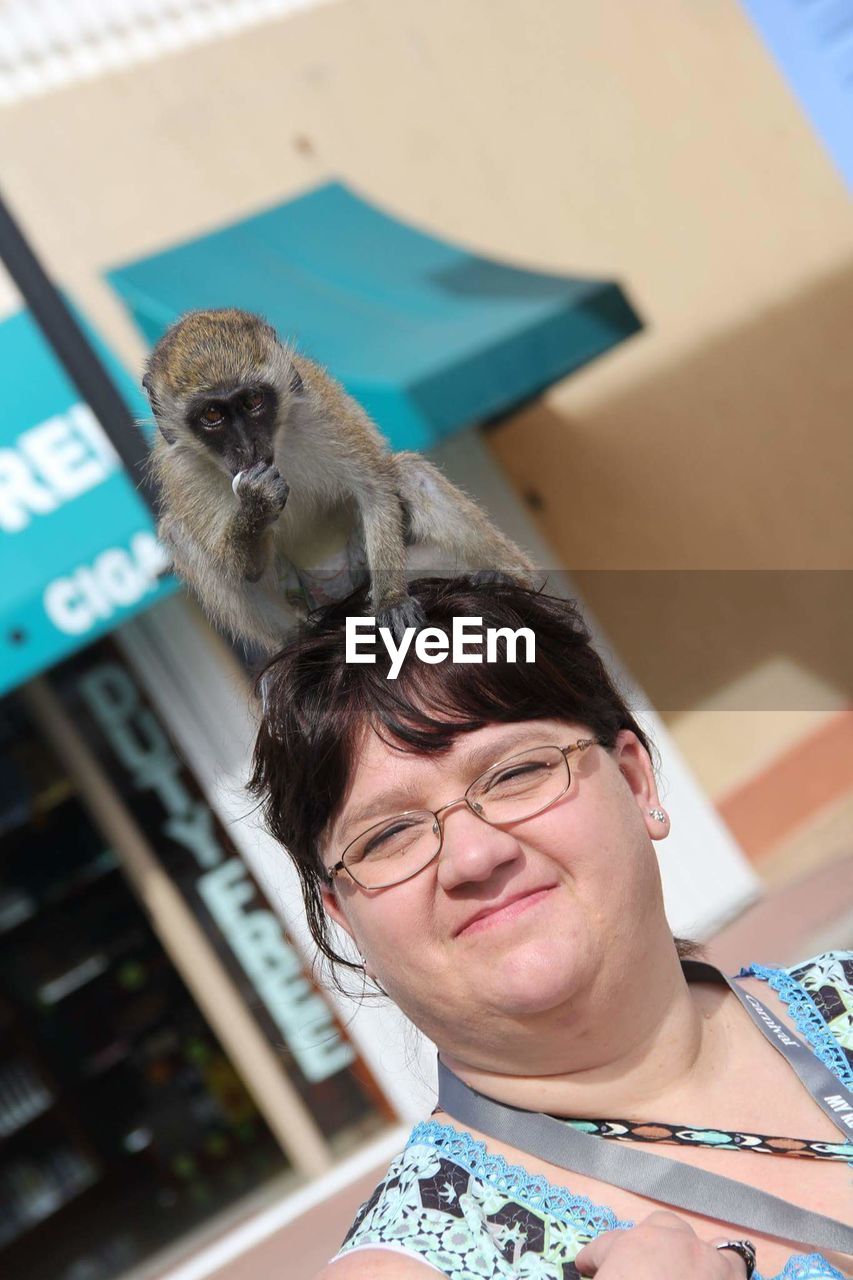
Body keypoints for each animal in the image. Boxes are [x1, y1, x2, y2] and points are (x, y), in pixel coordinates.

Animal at [142, 307, 535, 650]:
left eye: (253, 400)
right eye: (212, 415)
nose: (246, 446)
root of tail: (336, 591)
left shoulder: (320, 407)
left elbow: (374, 487)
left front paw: (392, 600)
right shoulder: (183, 472)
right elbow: (242, 570)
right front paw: (256, 504)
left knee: (410, 473)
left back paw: (511, 575)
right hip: (298, 597)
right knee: (177, 533)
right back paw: (296, 639)